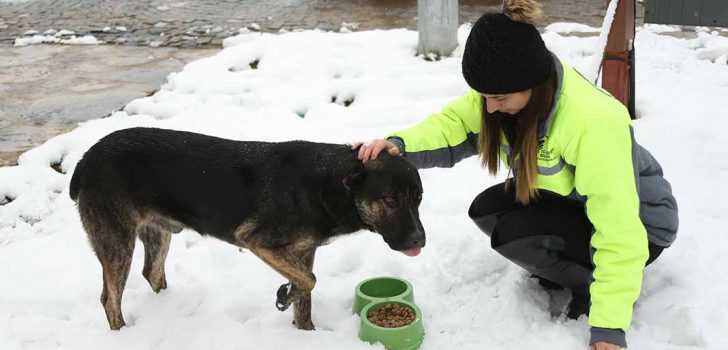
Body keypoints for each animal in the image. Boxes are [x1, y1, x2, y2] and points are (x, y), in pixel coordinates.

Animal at [69, 126, 426, 330]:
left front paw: (304, 328)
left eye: (418, 198)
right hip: (117, 243)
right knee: (109, 298)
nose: (419, 240)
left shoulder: (303, 249)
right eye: (390, 200)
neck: (327, 184)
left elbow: (306, 291)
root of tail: (85, 159)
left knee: (152, 273)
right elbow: (309, 280)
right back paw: (122, 333)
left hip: (158, 233)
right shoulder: (256, 240)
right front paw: (285, 295)